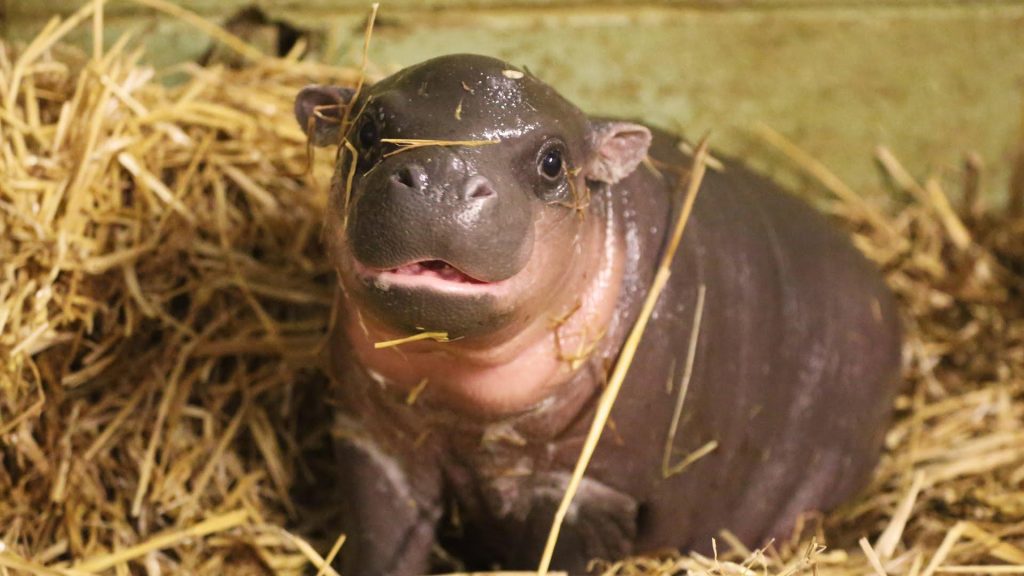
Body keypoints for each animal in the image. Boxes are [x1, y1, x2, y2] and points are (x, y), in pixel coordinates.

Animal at [292, 54, 901, 573]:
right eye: (365, 131)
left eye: (553, 161)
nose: (443, 176)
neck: (456, 399)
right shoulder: (373, 438)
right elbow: (382, 541)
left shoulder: (588, 489)